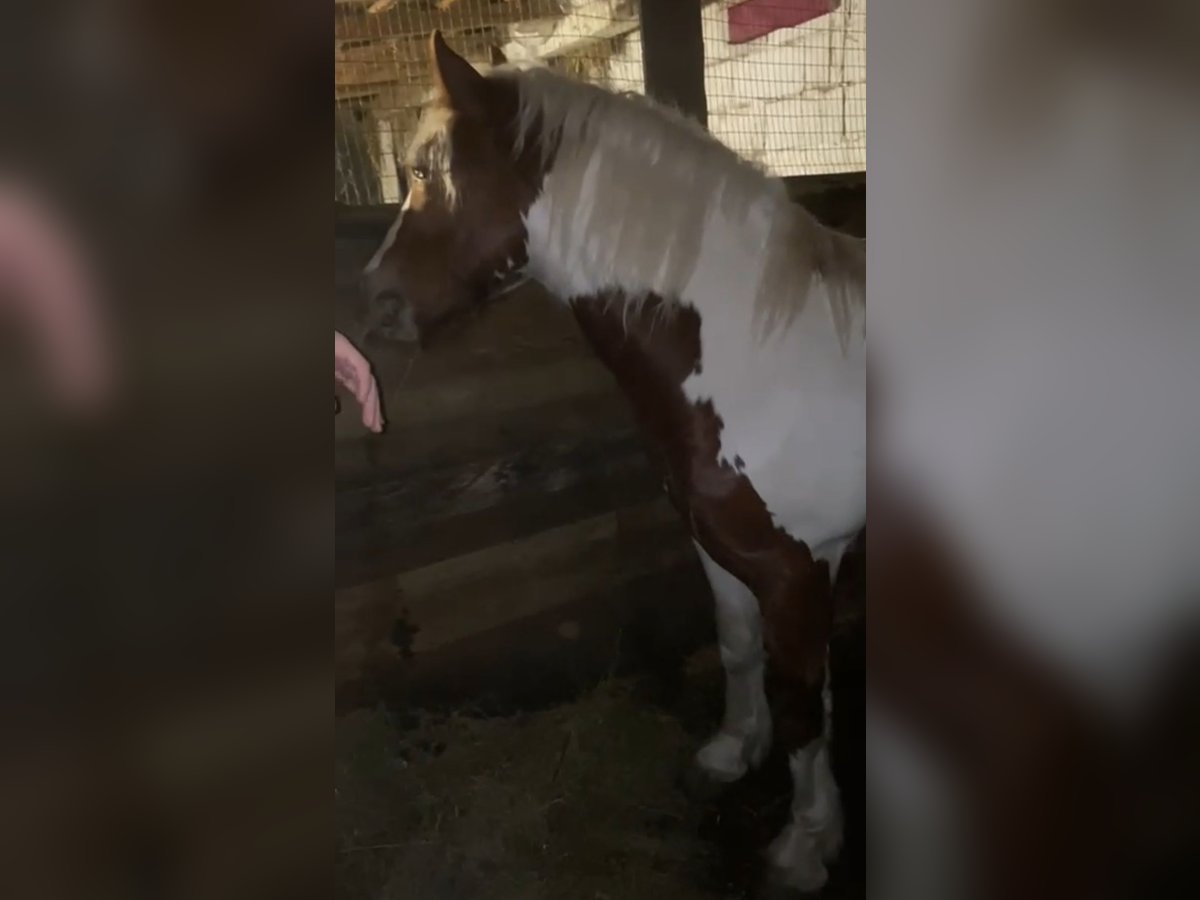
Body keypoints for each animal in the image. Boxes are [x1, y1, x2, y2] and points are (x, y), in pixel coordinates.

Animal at [362, 33, 866, 894]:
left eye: (426, 170)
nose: (376, 302)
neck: (762, 355)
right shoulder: (719, 546)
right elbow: (737, 646)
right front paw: (730, 753)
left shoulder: (802, 568)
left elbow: (803, 699)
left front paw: (806, 843)